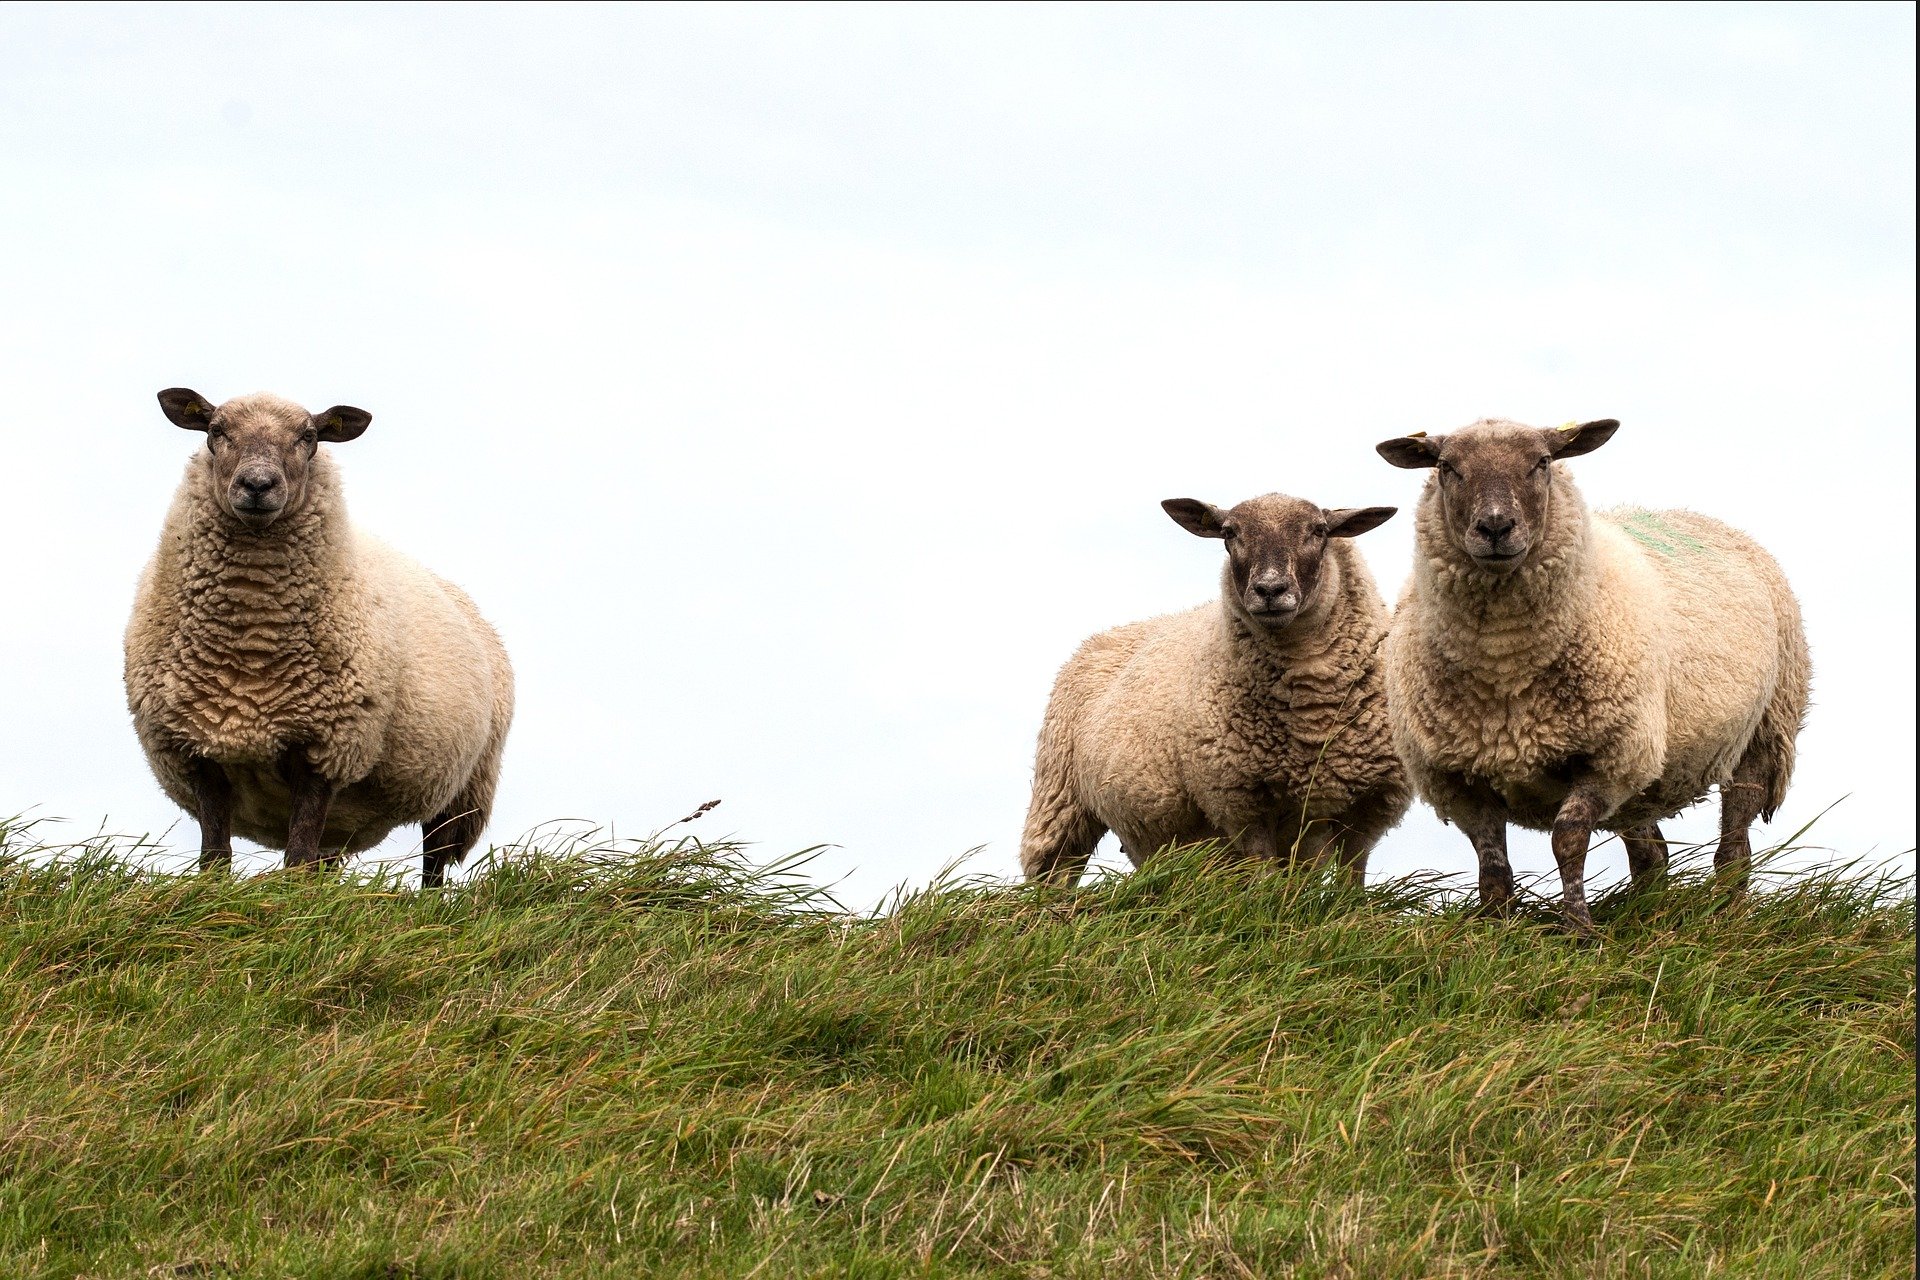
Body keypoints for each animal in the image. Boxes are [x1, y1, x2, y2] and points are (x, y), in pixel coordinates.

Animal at [124, 389, 515, 887]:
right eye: (216, 430)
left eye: (308, 436)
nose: (257, 485)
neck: (250, 651)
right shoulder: (199, 752)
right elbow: (215, 858)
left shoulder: (325, 751)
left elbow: (296, 859)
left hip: (463, 789)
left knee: (434, 863)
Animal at [1019, 493, 1411, 885]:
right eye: (1229, 532)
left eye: (1319, 530)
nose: (1270, 590)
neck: (1312, 713)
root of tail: (1100, 638)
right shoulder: (1242, 801)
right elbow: (1265, 878)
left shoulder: (1369, 808)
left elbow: (1351, 884)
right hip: (1059, 802)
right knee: (1052, 874)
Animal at [1375, 418, 1810, 935]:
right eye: (1446, 467)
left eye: (1542, 462)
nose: (1496, 527)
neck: (1504, 667)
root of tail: (1709, 520)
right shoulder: (1457, 778)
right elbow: (1493, 865)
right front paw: (1494, 930)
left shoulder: (1610, 755)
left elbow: (1567, 840)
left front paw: (1579, 930)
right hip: (1647, 775)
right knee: (1652, 854)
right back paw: (1649, 913)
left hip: (1762, 732)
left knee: (1734, 845)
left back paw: (1727, 915)